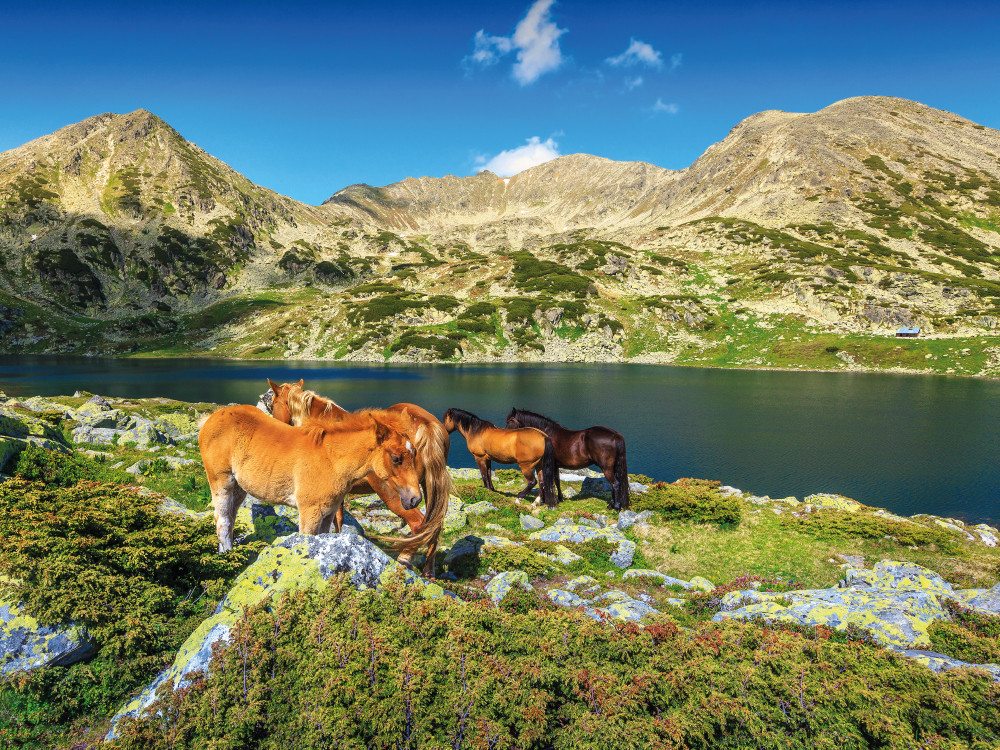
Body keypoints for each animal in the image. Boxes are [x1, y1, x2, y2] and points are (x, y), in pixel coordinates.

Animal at [197, 406, 420, 560]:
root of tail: (211, 418)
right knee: (222, 521)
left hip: (239, 488)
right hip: (221, 481)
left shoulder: (329, 513)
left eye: (415, 453)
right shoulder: (309, 511)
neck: (331, 460)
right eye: (396, 458)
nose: (415, 499)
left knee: (230, 518)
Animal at [268, 378, 452, 580]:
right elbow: (338, 519)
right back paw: (429, 571)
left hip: (398, 496)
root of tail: (426, 424)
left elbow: (336, 520)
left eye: (273, 404)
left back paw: (405, 559)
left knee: (419, 523)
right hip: (428, 488)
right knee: (434, 525)